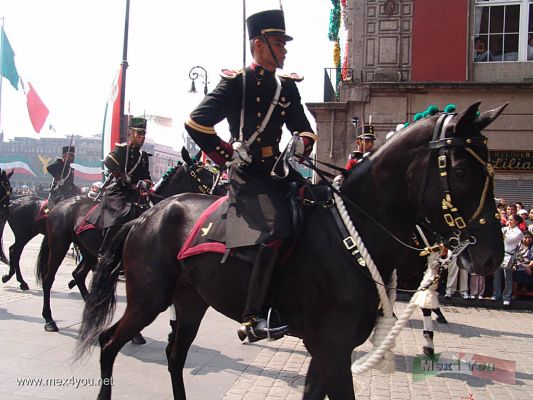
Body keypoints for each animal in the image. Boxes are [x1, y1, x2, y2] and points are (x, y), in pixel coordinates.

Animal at [37, 156, 224, 332]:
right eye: (201, 172)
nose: (223, 191)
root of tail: (59, 205)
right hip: (59, 245)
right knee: (48, 279)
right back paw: (49, 320)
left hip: (88, 251)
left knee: (78, 275)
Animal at [77, 103, 504, 400]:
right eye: (461, 171)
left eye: (491, 170)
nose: (491, 257)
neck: (349, 235)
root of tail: (147, 215)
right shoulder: (331, 349)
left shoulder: (328, 351)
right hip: (148, 299)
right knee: (109, 342)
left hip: (191, 302)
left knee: (174, 355)